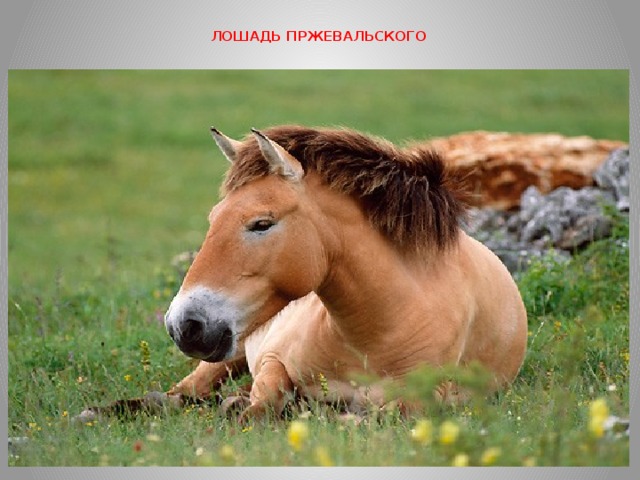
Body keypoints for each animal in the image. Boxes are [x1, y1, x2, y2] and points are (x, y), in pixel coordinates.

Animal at [164, 125, 528, 418]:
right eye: (214, 217)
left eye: (261, 224)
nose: (183, 324)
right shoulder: (273, 359)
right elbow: (261, 407)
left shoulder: (424, 399)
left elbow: (378, 415)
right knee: (191, 388)